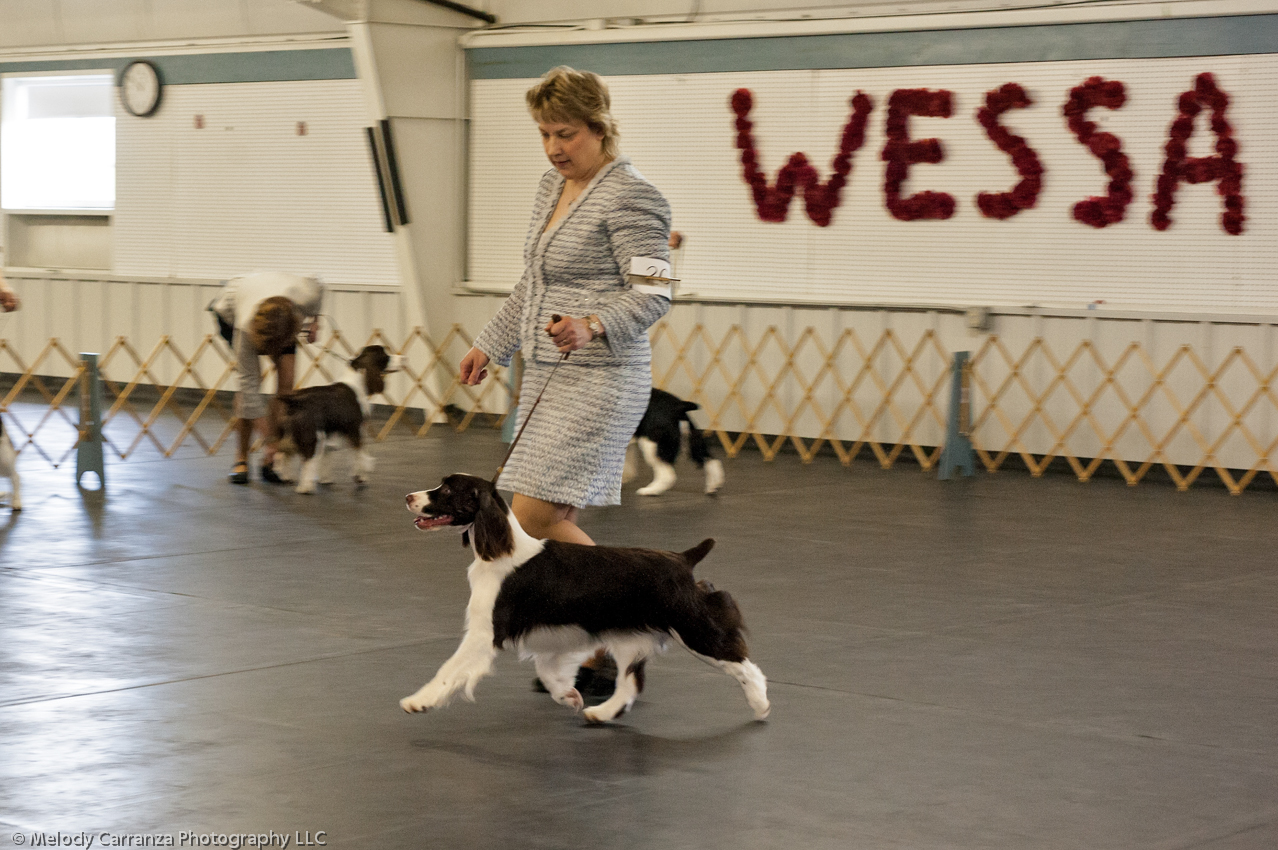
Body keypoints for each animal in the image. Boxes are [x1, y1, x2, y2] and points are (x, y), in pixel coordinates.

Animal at [270, 342, 403, 493]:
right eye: (385, 355)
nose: (403, 358)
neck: (358, 382)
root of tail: (293, 401)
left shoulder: (331, 431)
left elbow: (329, 452)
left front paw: (325, 479)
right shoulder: (353, 428)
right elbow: (358, 452)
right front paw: (361, 476)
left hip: (284, 432)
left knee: (284, 454)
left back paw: (286, 478)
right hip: (312, 434)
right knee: (307, 459)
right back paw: (305, 487)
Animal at [398, 470, 766, 720]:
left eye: (447, 489)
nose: (408, 497)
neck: (502, 551)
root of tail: (683, 558)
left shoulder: (486, 632)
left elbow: (449, 668)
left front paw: (419, 700)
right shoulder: (558, 633)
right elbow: (549, 670)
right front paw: (569, 697)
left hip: (691, 625)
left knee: (742, 663)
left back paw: (761, 704)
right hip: (629, 636)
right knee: (631, 682)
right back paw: (601, 713)